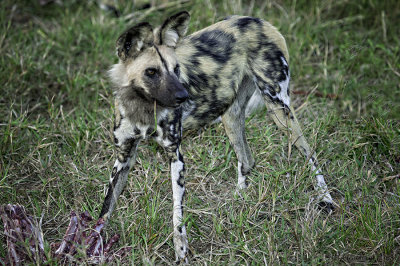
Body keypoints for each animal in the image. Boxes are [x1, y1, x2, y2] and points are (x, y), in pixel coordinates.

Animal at [100, 11, 334, 262]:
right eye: (151, 72)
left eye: (176, 68)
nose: (183, 96)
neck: (142, 108)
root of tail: (260, 21)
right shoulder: (123, 158)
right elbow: (106, 206)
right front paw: (93, 241)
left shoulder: (176, 157)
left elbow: (177, 214)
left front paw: (181, 251)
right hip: (231, 117)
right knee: (247, 160)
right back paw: (238, 199)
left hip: (279, 110)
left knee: (310, 153)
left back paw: (326, 198)